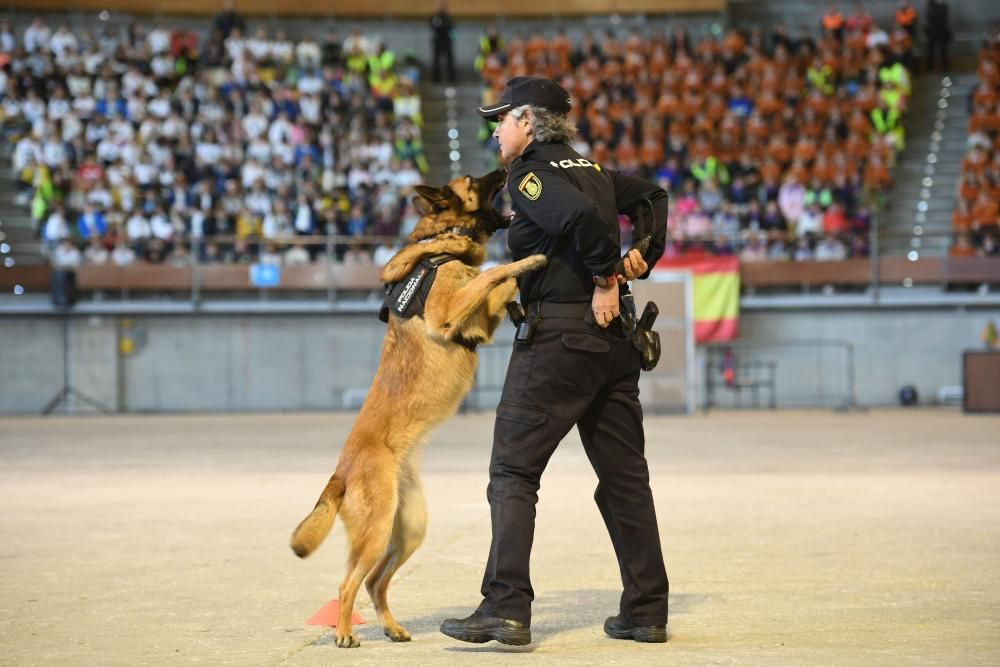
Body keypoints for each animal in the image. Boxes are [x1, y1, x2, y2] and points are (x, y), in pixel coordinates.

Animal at [290, 170, 548, 648]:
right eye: (474, 180)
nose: (504, 169)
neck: (442, 242)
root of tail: (341, 472)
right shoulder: (452, 310)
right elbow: (492, 273)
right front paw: (528, 261)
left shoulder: (479, 320)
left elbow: (492, 283)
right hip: (376, 533)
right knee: (348, 582)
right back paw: (343, 633)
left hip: (409, 529)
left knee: (375, 582)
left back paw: (391, 627)